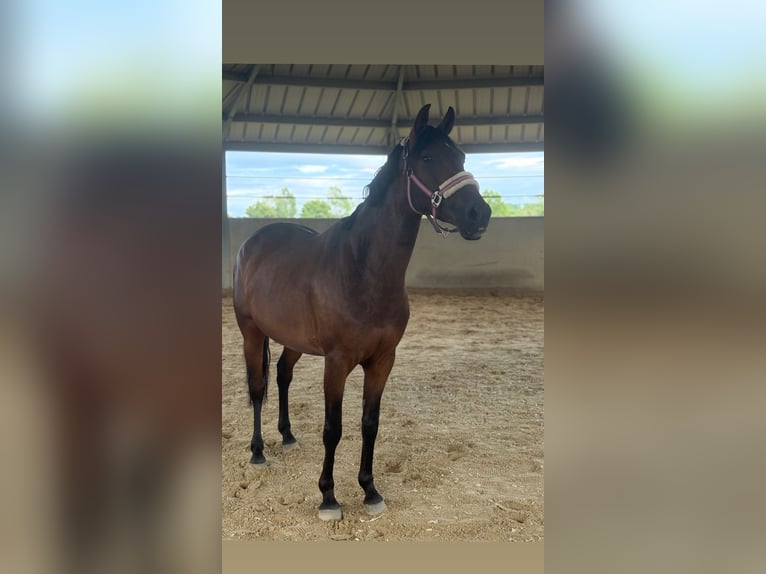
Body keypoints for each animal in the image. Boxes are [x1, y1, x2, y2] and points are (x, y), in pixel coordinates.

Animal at [232, 104, 492, 521]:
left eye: (462, 157)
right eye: (427, 158)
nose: (478, 213)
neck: (363, 270)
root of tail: (252, 244)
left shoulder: (383, 359)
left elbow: (370, 424)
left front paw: (370, 491)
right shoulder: (337, 362)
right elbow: (333, 428)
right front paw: (328, 497)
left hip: (293, 341)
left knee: (283, 376)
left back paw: (287, 436)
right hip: (251, 334)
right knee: (258, 388)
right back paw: (258, 452)